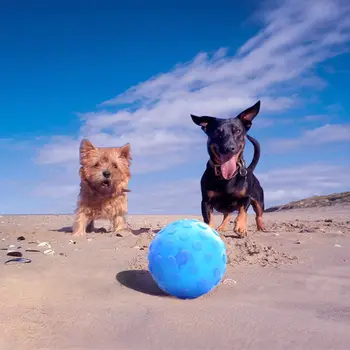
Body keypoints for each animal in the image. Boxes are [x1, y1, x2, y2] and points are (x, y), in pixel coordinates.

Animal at [191, 101, 266, 238]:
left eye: (238, 131)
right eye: (217, 132)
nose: (229, 148)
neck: (226, 177)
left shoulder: (246, 198)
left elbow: (242, 211)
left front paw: (241, 227)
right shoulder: (206, 202)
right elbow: (208, 219)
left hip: (259, 200)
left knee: (258, 215)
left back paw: (260, 227)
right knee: (228, 214)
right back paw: (222, 227)